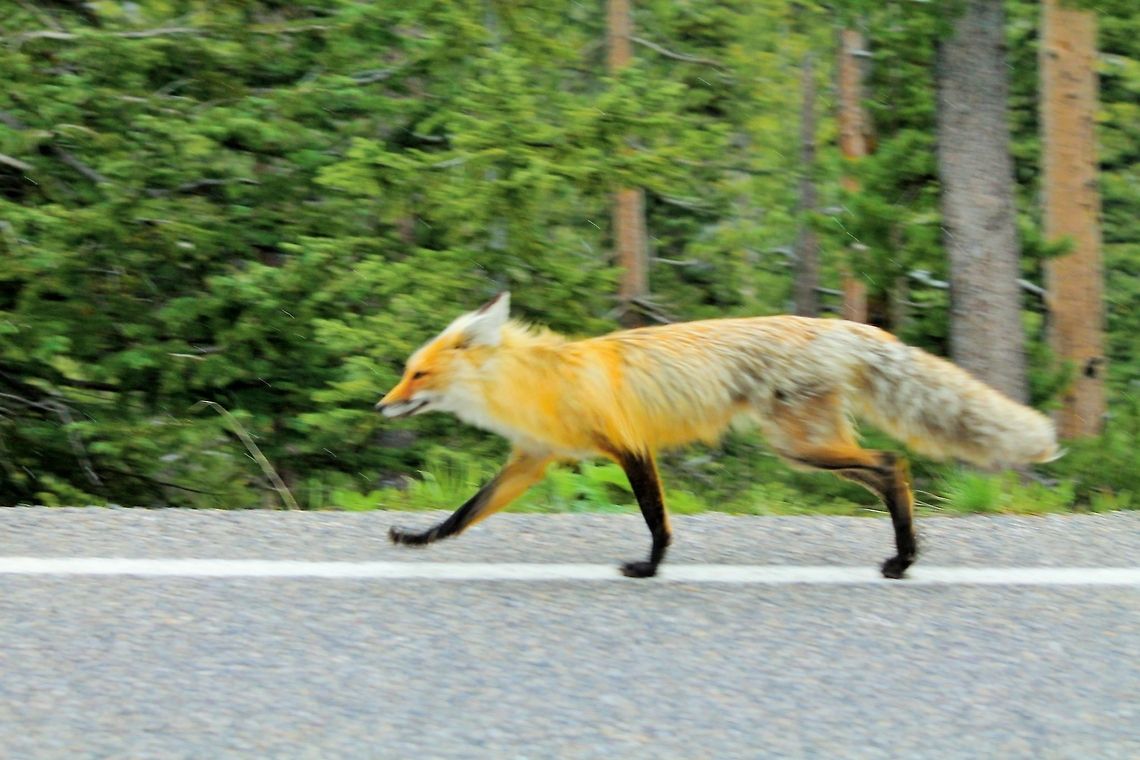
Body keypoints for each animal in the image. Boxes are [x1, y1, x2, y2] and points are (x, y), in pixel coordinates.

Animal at [377, 292, 1059, 579]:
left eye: (418, 374)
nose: (381, 406)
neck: (536, 386)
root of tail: (837, 324)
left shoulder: (629, 446)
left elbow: (656, 520)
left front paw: (650, 567)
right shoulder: (533, 460)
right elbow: (464, 513)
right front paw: (418, 539)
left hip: (801, 447)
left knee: (892, 463)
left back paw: (905, 558)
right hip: (806, 448)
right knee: (888, 470)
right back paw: (905, 556)